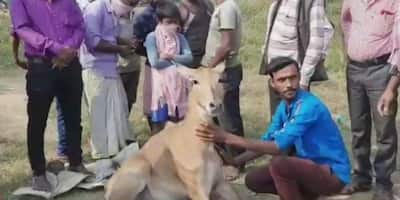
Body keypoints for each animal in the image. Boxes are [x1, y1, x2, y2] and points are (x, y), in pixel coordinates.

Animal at [104, 63, 241, 200]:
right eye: (195, 81)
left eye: (220, 80)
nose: (215, 105)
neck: (202, 145)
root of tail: (108, 187)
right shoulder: (197, 190)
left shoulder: (221, 183)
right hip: (139, 169)